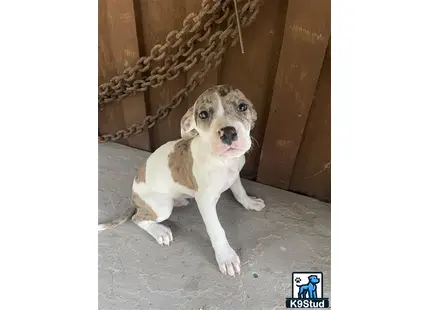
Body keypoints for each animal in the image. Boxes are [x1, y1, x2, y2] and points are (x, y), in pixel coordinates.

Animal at [98, 84, 266, 276]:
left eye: (242, 106)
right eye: (203, 114)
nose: (228, 133)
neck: (223, 161)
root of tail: (134, 196)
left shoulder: (235, 175)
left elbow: (240, 191)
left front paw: (250, 202)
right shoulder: (205, 202)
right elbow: (216, 230)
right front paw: (226, 257)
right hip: (162, 207)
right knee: (138, 218)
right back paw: (160, 231)